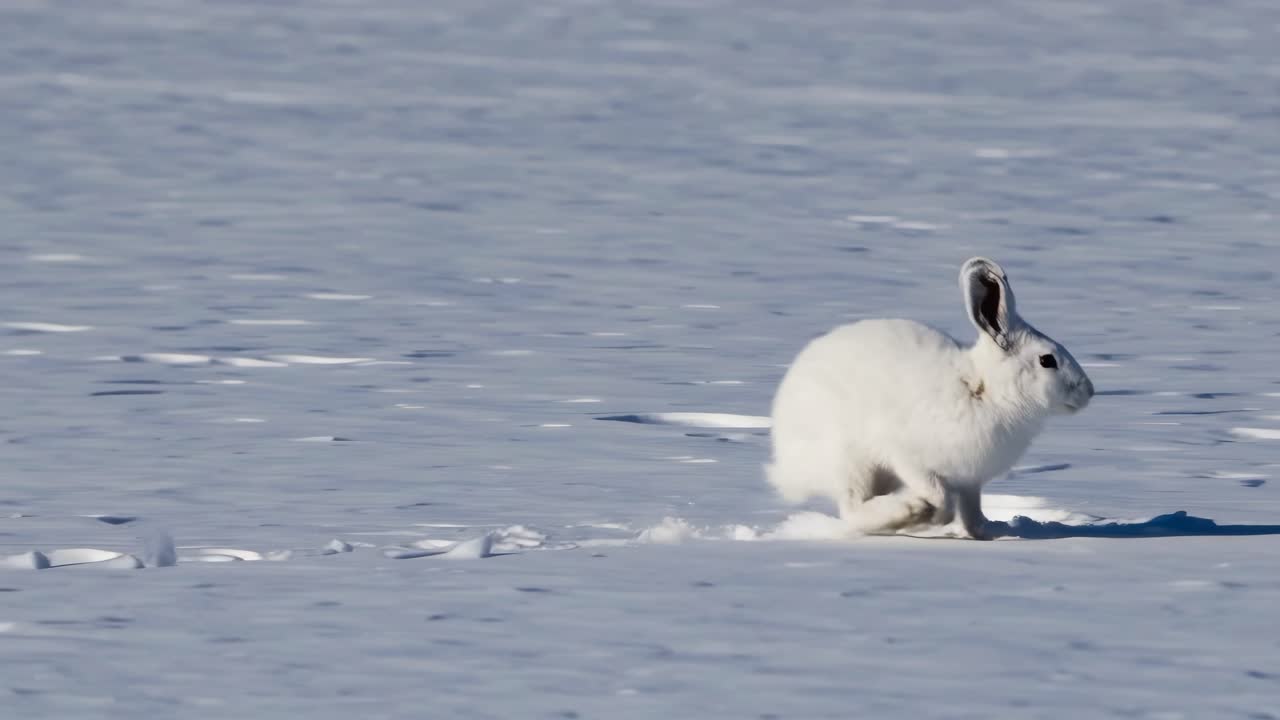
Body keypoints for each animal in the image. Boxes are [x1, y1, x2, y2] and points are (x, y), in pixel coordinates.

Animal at [765, 257, 1093, 539]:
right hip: (849, 460)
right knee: (852, 508)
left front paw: (984, 535)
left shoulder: (970, 482)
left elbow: (972, 514)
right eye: (1047, 360)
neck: (983, 389)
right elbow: (941, 498)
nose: (1089, 392)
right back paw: (909, 510)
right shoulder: (909, 458)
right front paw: (928, 515)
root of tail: (785, 465)